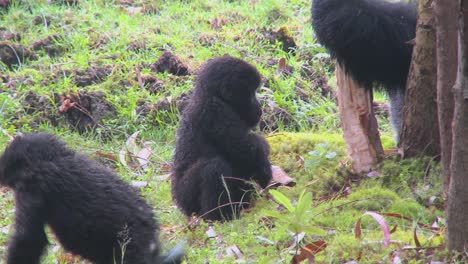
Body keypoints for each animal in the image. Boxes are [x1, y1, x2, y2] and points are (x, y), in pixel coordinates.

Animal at [171, 55, 272, 221]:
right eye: (251, 93)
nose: (259, 107)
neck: (211, 94)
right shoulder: (216, 112)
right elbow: (249, 148)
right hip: (185, 197)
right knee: (214, 167)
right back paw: (215, 217)